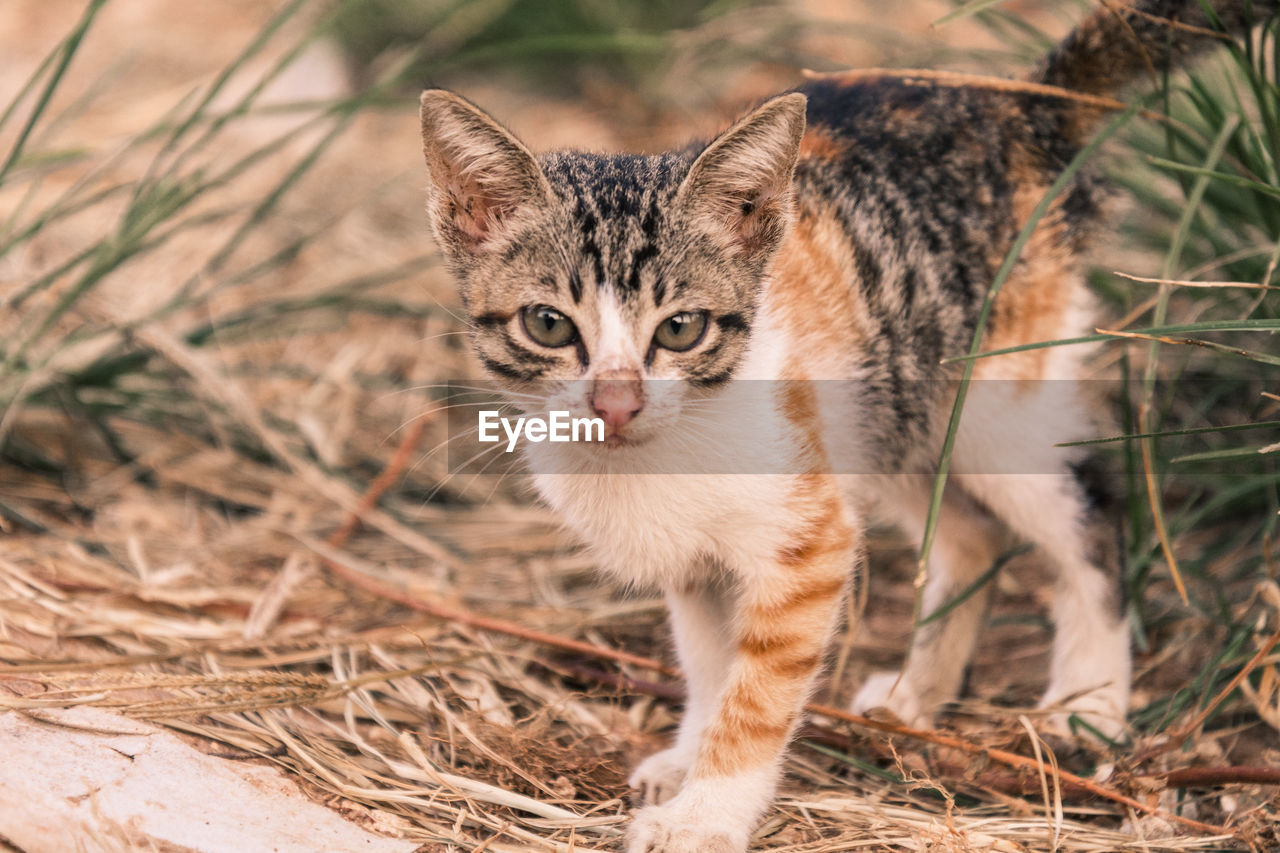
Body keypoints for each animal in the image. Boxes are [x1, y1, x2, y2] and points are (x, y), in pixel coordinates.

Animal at [417, 3, 1269, 845]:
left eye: (683, 327)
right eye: (548, 325)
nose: (617, 402)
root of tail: (1015, 102)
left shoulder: (807, 539)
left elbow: (758, 692)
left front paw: (706, 811)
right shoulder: (701, 564)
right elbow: (711, 662)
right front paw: (688, 757)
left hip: (995, 406)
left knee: (1090, 516)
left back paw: (1087, 702)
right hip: (888, 410)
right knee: (972, 535)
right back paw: (917, 697)